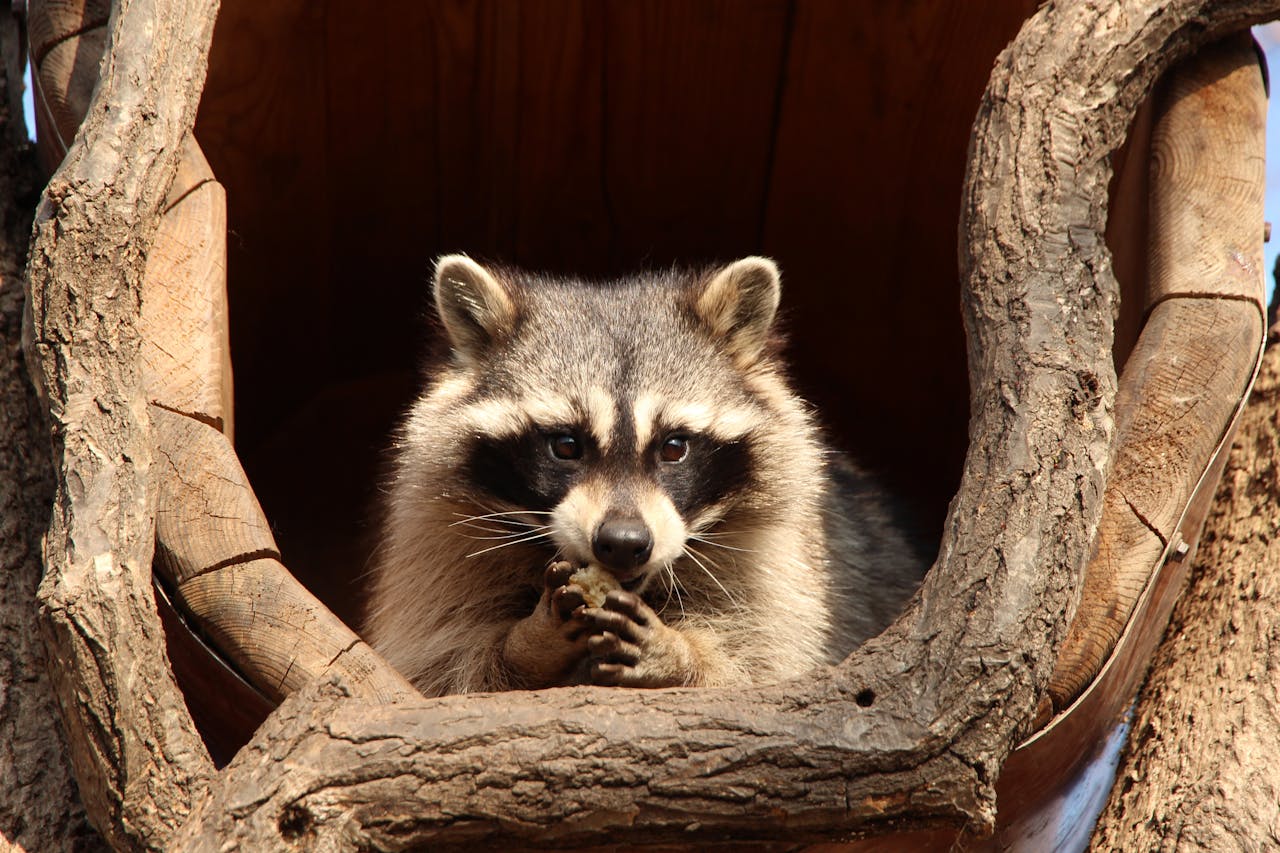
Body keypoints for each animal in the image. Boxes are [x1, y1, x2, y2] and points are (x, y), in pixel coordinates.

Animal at [363, 255, 929, 696]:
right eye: (566, 445)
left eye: (674, 447)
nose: (623, 542)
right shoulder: (438, 542)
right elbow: (437, 667)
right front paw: (526, 644)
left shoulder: (789, 564)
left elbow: (767, 667)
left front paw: (682, 655)